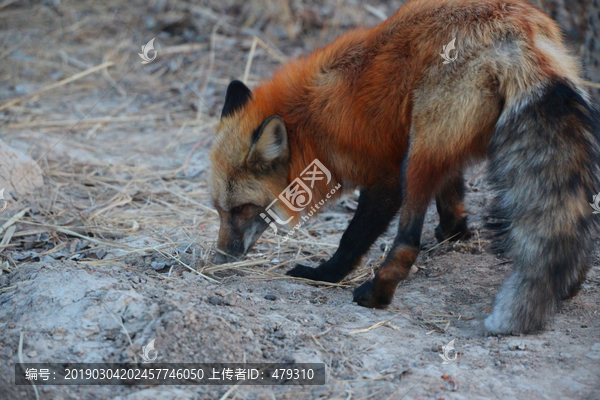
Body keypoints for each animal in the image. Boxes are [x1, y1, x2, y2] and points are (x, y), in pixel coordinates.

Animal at [207, 0, 600, 336]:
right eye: (219, 210)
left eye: (241, 209)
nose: (220, 259)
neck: (309, 123)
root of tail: (514, 29)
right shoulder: (444, 152)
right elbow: (452, 190)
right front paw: (455, 231)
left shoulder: (384, 177)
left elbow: (352, 239)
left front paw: (325, 274)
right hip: (439, 141)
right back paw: (570, 283)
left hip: (418, 152)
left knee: (407, 244)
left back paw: (376, 295)